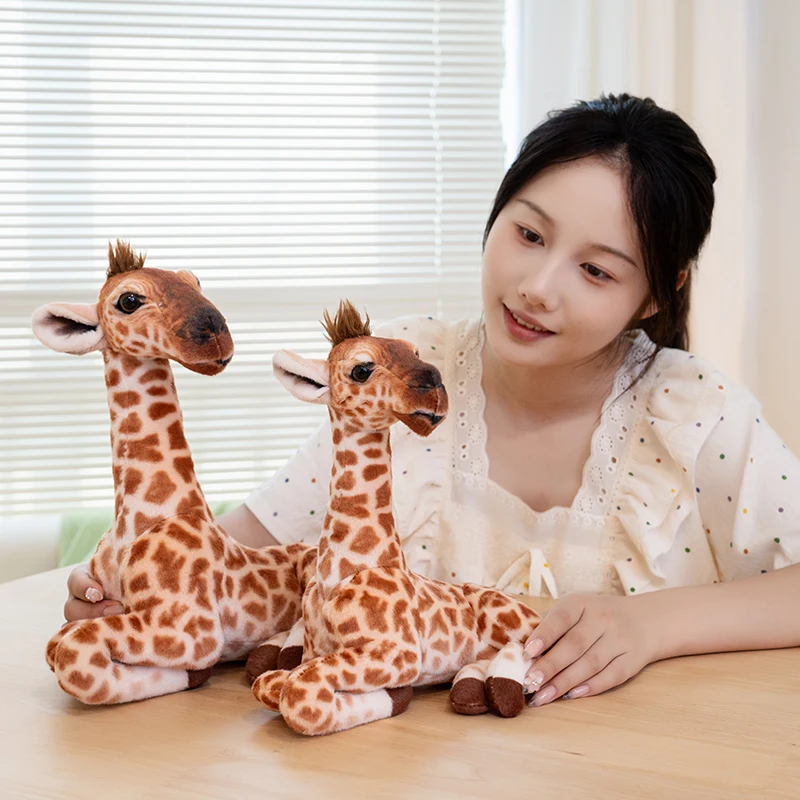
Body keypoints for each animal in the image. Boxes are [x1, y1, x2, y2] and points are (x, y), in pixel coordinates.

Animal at [33, 241, 315, 704]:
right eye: (128, 300)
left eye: (196, 281)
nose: (215, 336)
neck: (139, 514)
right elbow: (58, 644)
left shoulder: (190, 628)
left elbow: (75, 653)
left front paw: (182, 675)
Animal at [250, 301, 542, 735]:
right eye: (361, 369)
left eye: (415, 352)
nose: (435, 390)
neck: (345, 567)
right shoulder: (315, 650)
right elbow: (270, 684)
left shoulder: (400, 652)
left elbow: (298, 695)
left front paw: (387, 699)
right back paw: (474, 689)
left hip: (516, 620)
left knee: (530, 646)